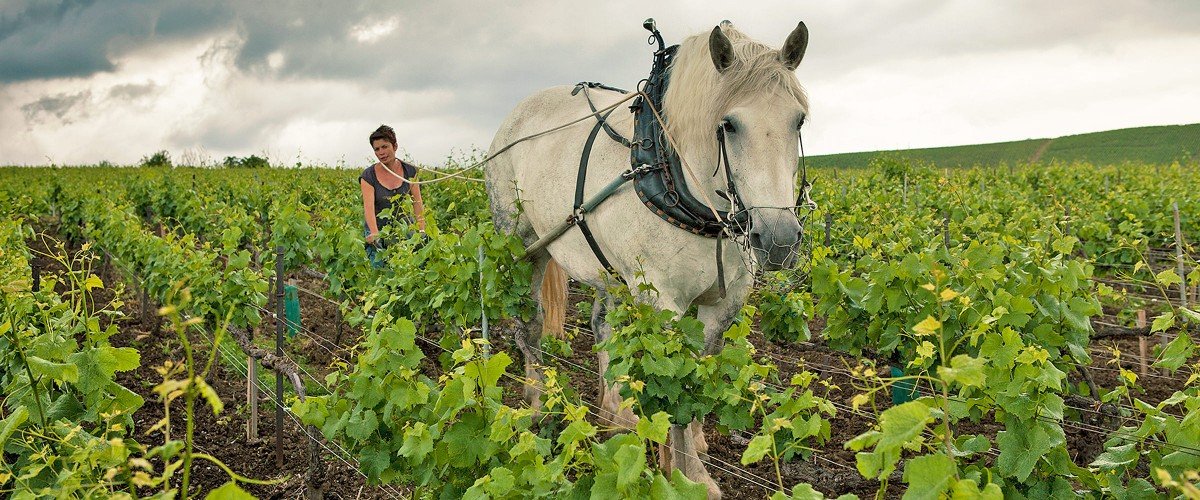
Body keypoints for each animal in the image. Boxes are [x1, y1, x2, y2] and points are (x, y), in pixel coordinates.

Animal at [482, 20, 811, 494]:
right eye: (728, 125)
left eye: (798, 119)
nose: (779, 239)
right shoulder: (663, 302)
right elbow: (677, 383)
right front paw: (688, 476)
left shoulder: (725, 301)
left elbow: (701, 375)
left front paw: (693, 447)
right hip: (523, 242)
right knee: (529, 325)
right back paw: (536, 405)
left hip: (608, 267)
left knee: (602, 325)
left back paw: (615, 412)